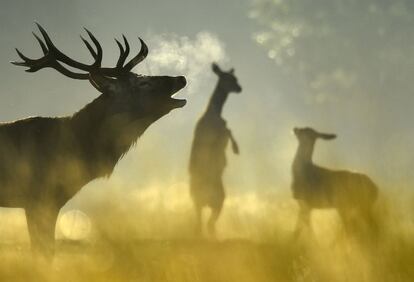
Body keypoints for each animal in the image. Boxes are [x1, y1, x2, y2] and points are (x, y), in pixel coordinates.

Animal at [189, 62, 241, 236]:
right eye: (229, 78)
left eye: (235, 77)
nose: (239, 88)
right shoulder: (220, 133)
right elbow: (229, 130)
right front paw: (236, 149)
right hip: (219, 202)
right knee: (208, 225)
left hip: (202, 205)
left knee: (201, 225)